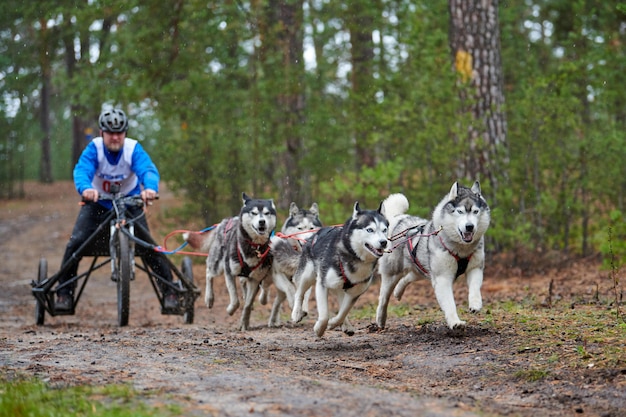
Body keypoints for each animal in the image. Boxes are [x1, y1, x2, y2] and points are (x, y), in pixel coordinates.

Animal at [184, 193, 274, 332]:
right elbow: (235, 300)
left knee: (243, 286)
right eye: (253, 213)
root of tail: (225, 221)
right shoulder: (229, 272)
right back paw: (209, 298)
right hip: (217, 265)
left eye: (266, 213)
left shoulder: (255, 279)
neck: (254, 247)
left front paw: (244, 322)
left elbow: (247, 305)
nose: (262, 221)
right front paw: (230, 310)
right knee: (209, 273)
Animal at [290, 202, 388, 338]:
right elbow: (324, 315)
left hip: (338, 286)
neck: (354, 256)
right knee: (299, 292)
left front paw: (333, 323)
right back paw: (296, 313)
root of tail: (313, 235)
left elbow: (343, 312)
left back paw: (346, 325)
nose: (384, 242)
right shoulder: (322, 284)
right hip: (307, 275)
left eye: (384, 230)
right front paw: (319, 329)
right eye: (370, 230)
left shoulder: (355, 293)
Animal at [372, 180, 490, 330]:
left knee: (408, 277)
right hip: (392, 273)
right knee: (383, 298)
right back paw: (380, 319)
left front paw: (475, 304)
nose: (470, 226)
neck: (461, 249)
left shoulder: (475, 268)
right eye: (460, 211)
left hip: (420, 268)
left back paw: (398, 292)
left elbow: (475, 287)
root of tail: (397, 219)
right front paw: (455, 322)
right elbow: (450, 304)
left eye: (475, 211)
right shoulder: (442, 278)